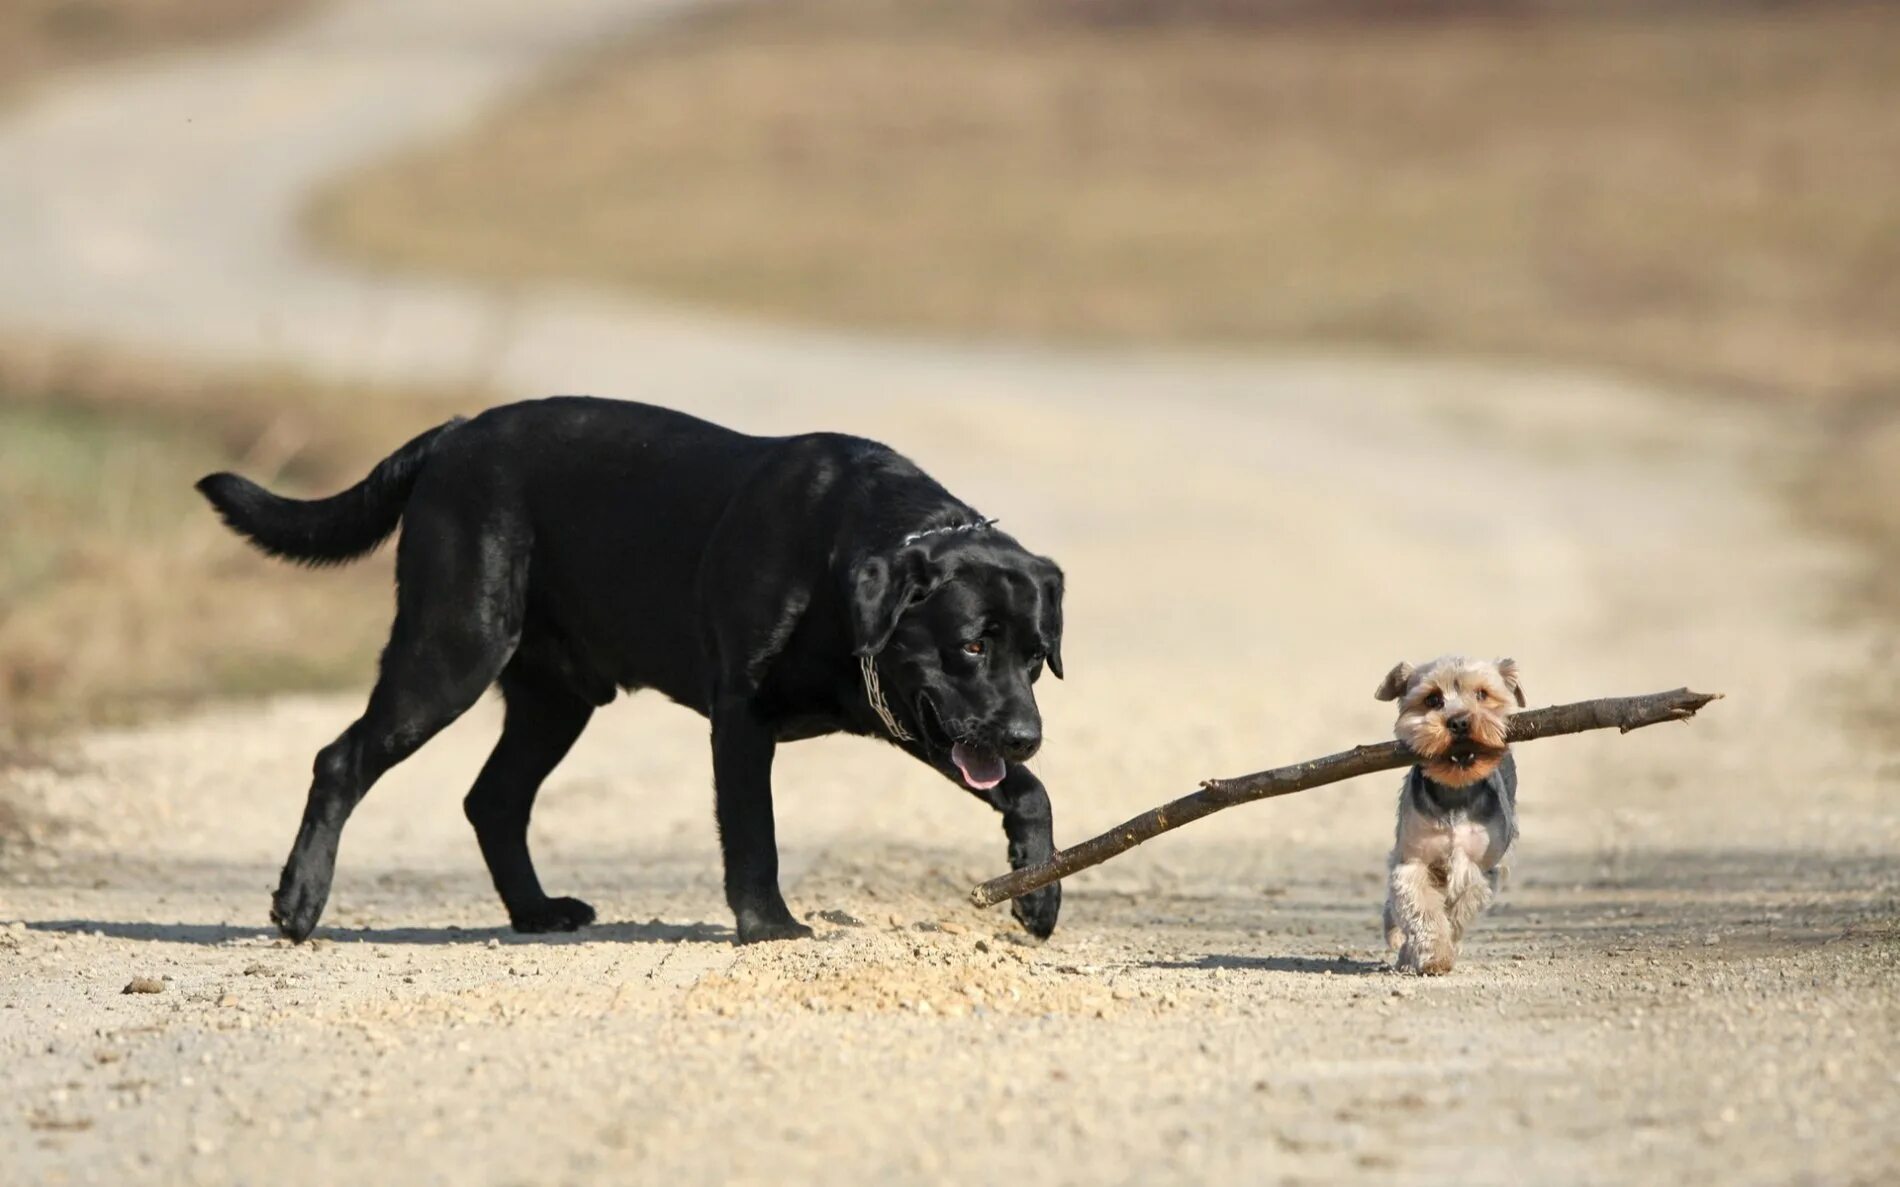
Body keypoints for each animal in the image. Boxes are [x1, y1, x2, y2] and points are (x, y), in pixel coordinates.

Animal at [206, 398, 1071, 945]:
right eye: (971, 645)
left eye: (1036, 655)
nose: (1026, 733)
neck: (841, 562)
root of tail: (450, 436)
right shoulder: (742, 716)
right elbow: (753, 834)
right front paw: (770, 927)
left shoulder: (908, 711)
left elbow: (1029, 793)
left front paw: (1039, 892)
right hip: (451, 649)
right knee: (342, 758)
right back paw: (298, 905)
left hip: (555, 698)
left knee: (492, 798)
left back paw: (537, 911)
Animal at [1375, 657, 1520, 972]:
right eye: (1432, 699)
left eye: (1482, 694)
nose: (1459, 721)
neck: (1455, 789)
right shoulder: (1413, 861)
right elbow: (1421, 909)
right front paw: (1433, 956)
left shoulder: (1482, 869)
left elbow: (1458, 910)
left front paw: (1435, 950)